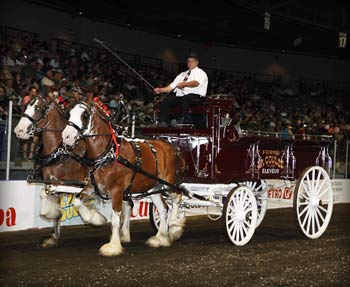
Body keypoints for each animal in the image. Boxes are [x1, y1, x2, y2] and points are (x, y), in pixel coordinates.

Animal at [14, 95, 106, 249]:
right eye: (26, 106)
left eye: (38, 108)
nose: (18, 130)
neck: (60, 153)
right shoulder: (51, 183)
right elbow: (49, 203)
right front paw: (54, 236)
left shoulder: (72, 184)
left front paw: (95, 218)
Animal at [61, 95, 187, 258]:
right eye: (69, 113)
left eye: (85, 115)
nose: (66, 136)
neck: (108, 154)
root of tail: (173, 148)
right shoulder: (93, 186)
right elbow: (77, 201)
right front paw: (96, 219)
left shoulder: (117, 191)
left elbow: (115, 219)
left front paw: (113, 246)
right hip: (154, 187)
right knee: (163, 208)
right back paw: (160, 238)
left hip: (168, 183)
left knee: (177, 196)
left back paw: (174, 227)